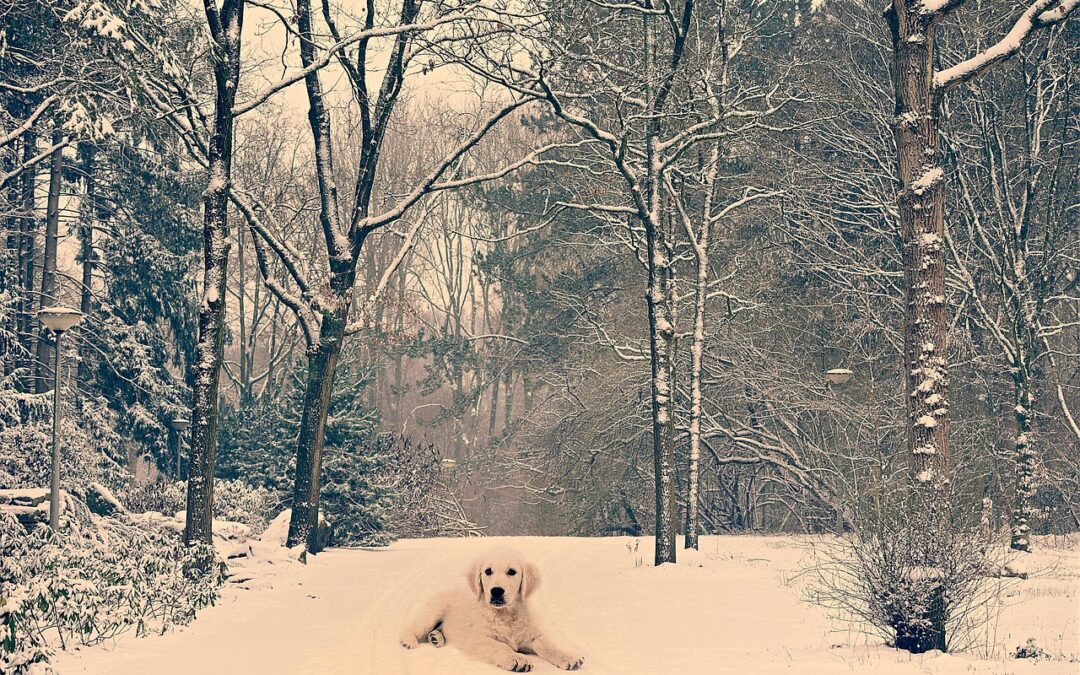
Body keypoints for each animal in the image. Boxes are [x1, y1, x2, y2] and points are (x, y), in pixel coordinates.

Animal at [399, 548, 587, 669]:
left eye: (512, 572)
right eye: (488, 571)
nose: (496, 591)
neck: (507, 615)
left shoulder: (532, 636)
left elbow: (550, 645)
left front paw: (569, 656)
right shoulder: (477, 639)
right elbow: (500, 646)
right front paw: (516, 658)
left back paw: (436, 638)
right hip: (433, 611)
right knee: (414, 626)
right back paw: (408, 641)